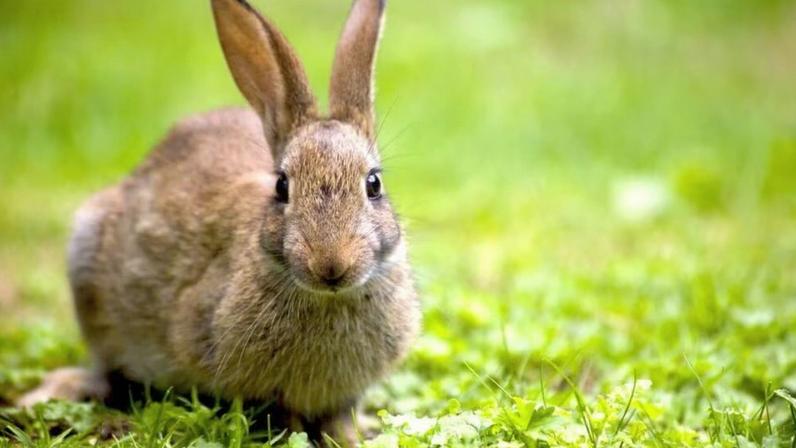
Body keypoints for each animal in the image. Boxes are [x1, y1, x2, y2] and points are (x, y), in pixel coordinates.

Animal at [16, 0, 421, 444]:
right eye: (281, 186)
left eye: (374, 184)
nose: (331, 265)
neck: (328, 298)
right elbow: (284, 417)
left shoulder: (343, 395)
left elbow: (340, 420)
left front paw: (354, 438)